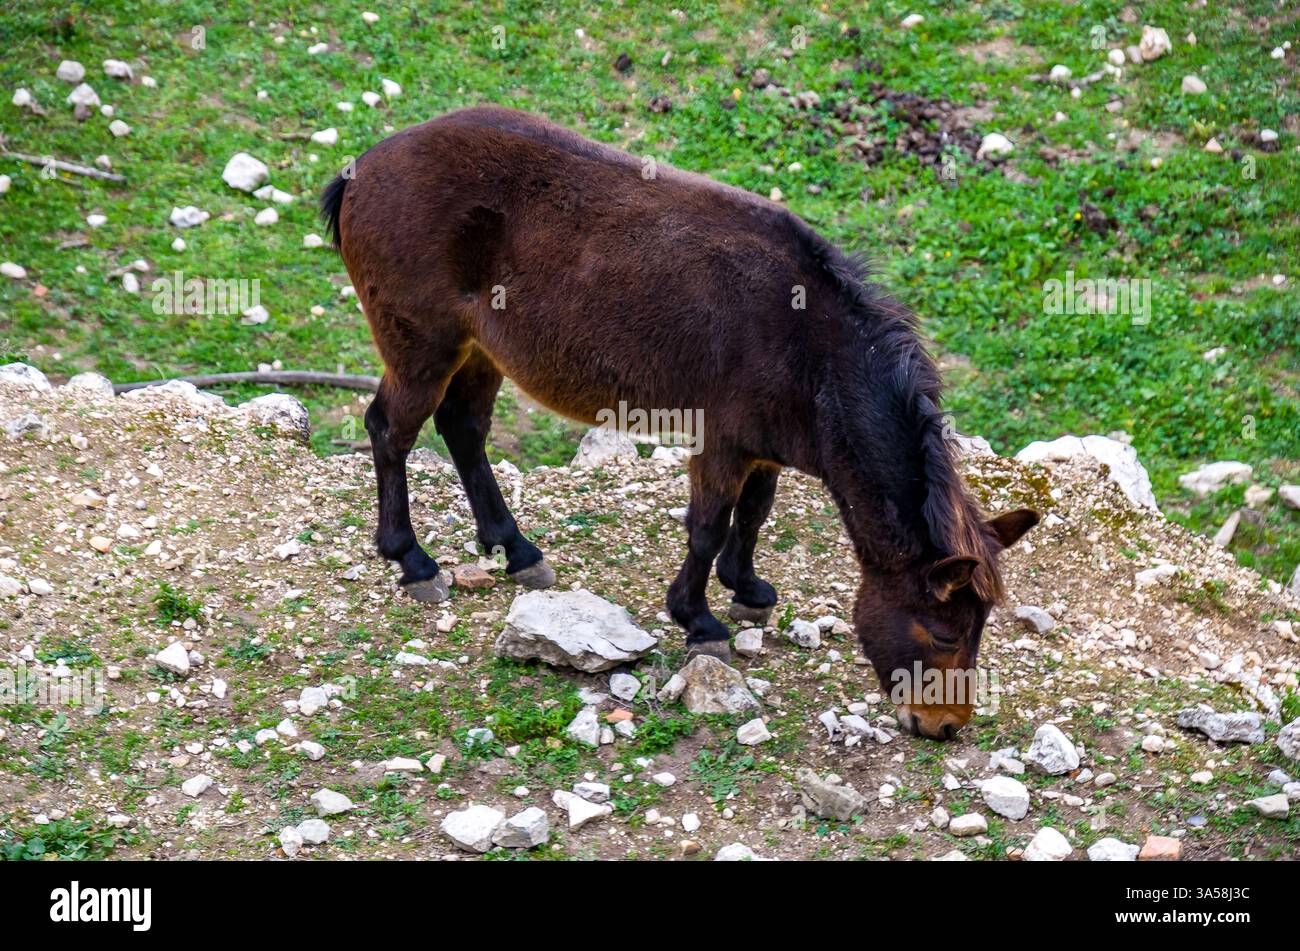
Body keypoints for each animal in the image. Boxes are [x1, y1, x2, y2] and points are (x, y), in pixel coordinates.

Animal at [321, 106, 1038, 740]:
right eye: (944, 631)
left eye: (980, 630)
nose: (945, 727)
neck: (809, 344)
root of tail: (363, 169)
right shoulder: (719, 441)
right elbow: (708, 527)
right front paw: (698, 620)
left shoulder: (764, 447)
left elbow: (754, 515)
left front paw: (745, 587)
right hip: (423, 347)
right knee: (390, 430)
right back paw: (413, 559)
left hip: (480, 350)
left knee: (464, 430)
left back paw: (514, 549)